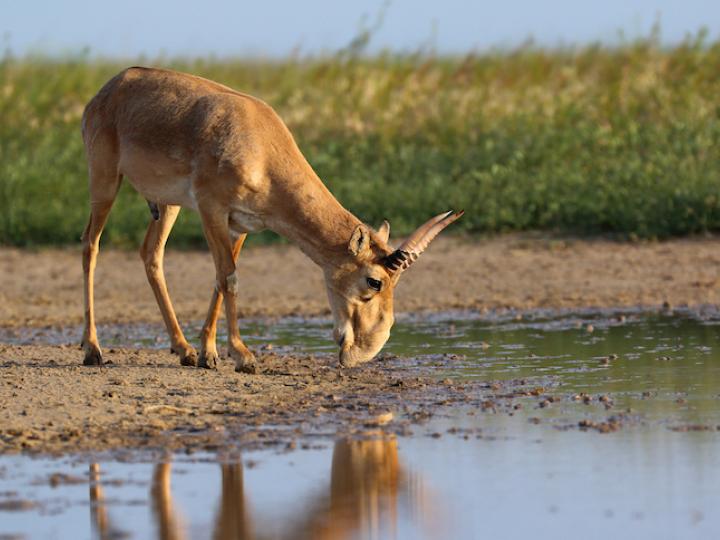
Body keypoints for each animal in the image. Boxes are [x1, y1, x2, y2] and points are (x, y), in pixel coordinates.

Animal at [79, 66, 462, 372]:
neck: (261, 145)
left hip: (166, 204)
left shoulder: (242, 225)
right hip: (104, 180)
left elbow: (219, 280)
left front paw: (208, 354)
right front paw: (243, 356)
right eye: (374, 281)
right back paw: (92, 349)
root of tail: (106, 91)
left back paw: (183, 349)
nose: (363, 352)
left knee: (151, 254)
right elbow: (229, 278)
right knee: (90, 246)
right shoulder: (211, 209)